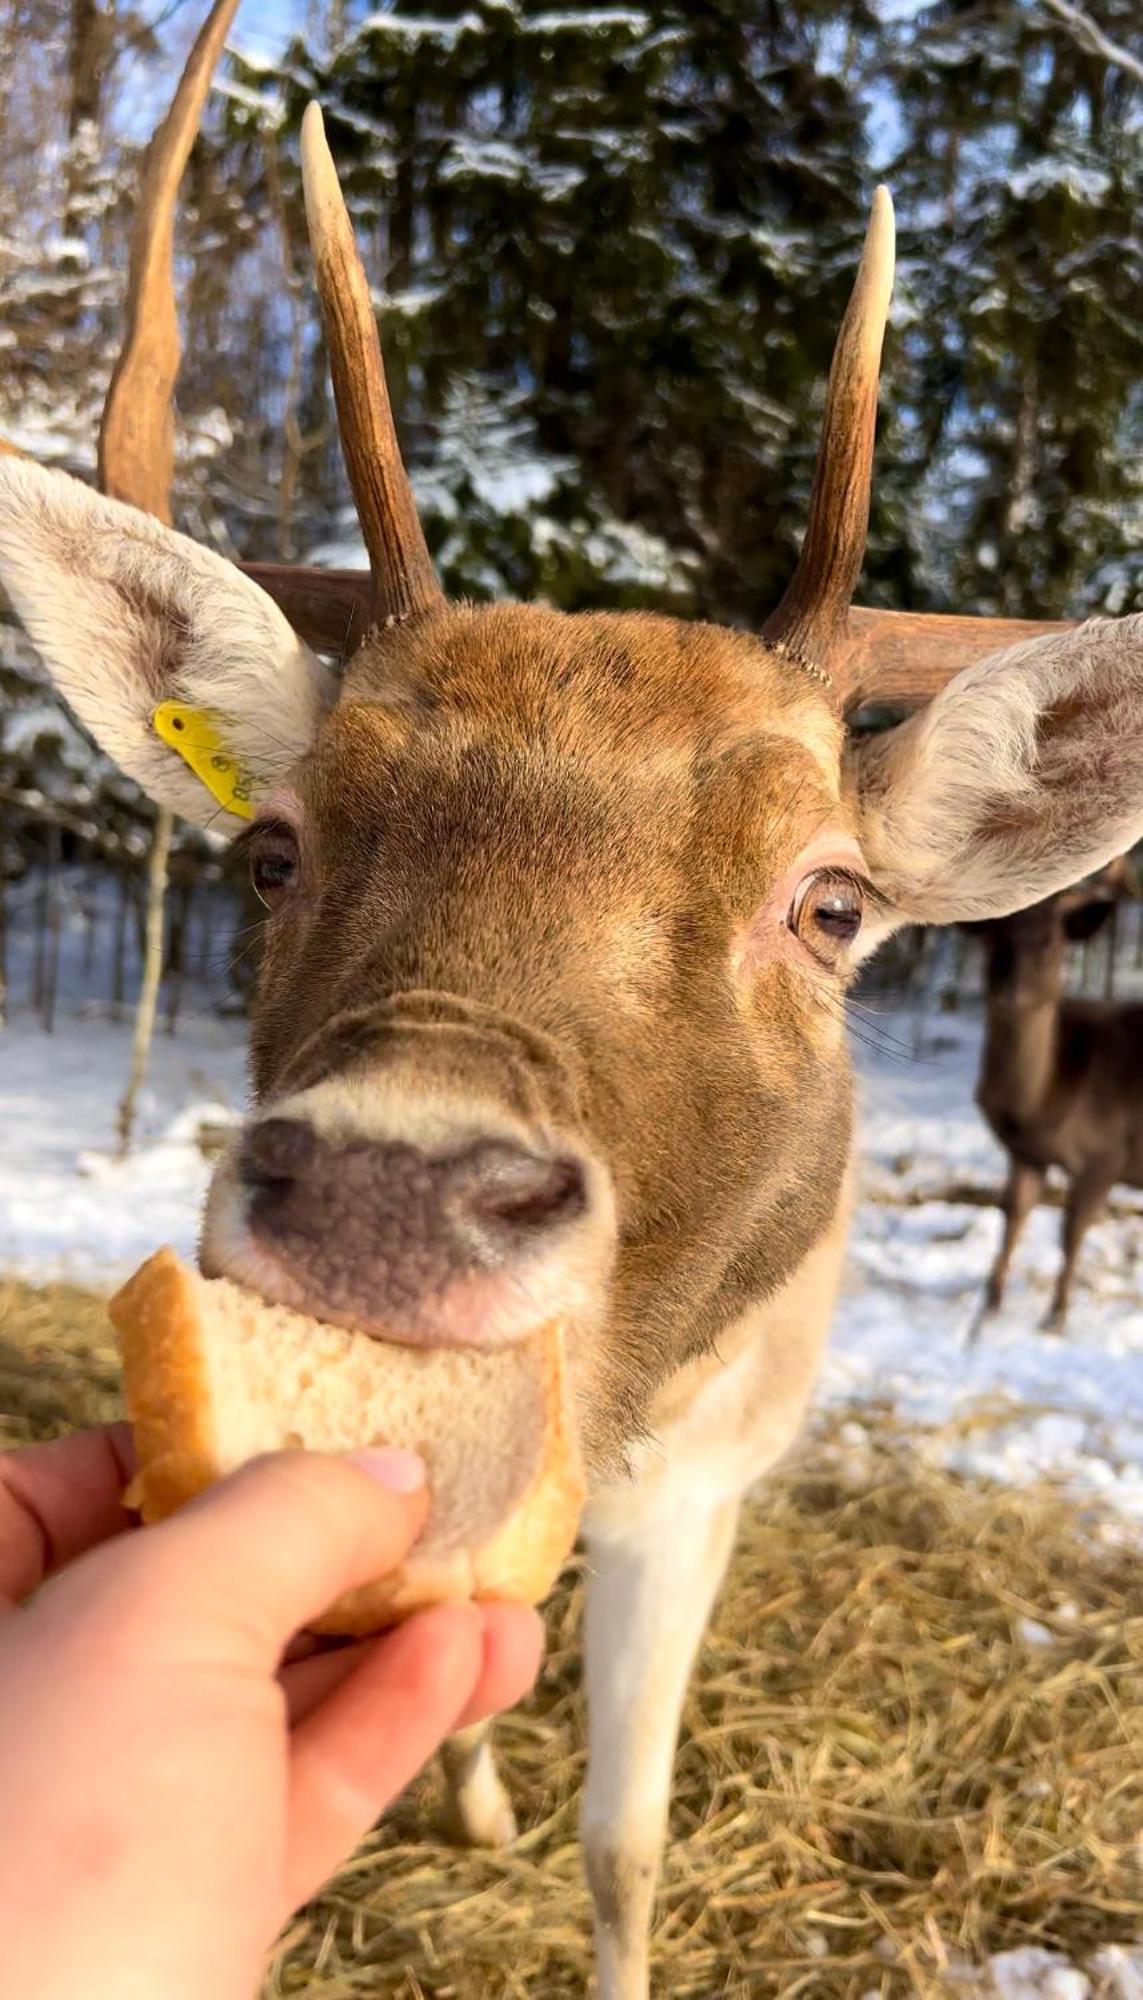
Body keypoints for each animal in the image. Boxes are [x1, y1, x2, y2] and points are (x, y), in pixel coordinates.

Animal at [967, 864, 1135, 1344]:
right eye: (994, 936)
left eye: (1051, 941)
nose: (1011, 990)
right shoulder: (1025, 1154)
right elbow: (1013, 1216)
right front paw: (989, 1304)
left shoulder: (1106, 1155)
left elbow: (1071, 1230)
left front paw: (1056, 1315)